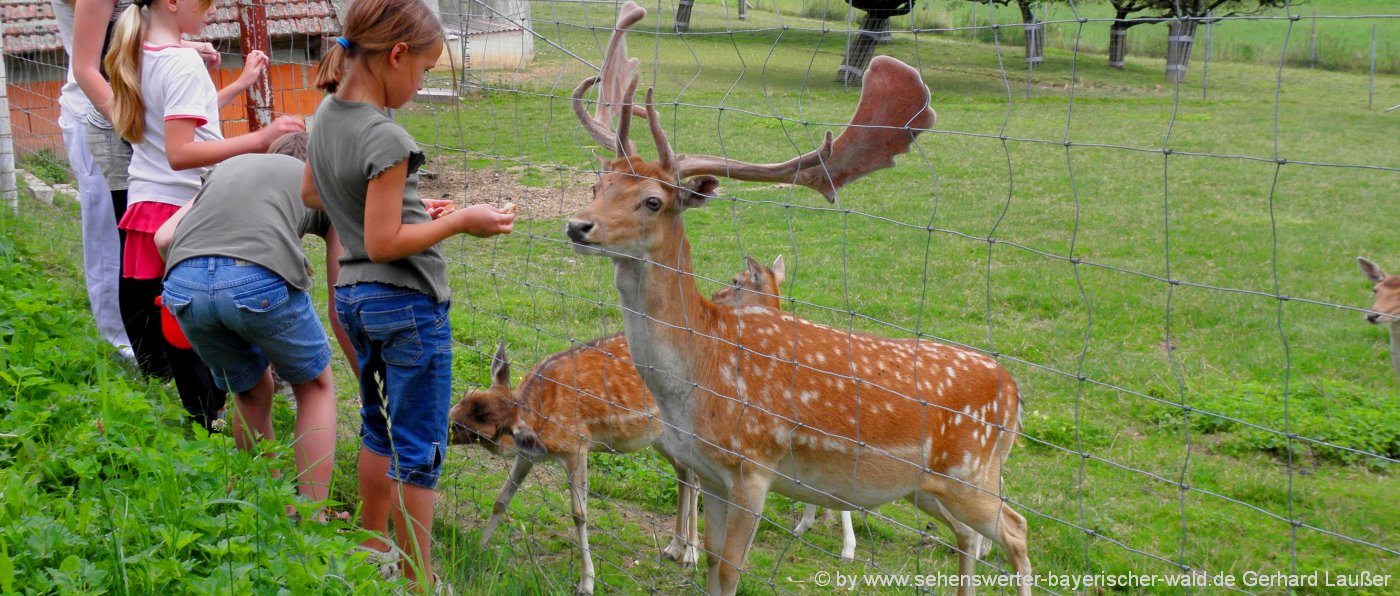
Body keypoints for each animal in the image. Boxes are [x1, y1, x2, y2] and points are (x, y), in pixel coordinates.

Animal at [562, 5, 1036, 596]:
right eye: (597, 185)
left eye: (652, 201)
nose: (578, 226)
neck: (698, 376)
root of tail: (1015, 391)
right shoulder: (709, 469)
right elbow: (712, 564)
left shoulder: (753, 466)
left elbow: (730, 569)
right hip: (929, 486)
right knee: (970, 537)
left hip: (972, 472)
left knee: (1017, 530)